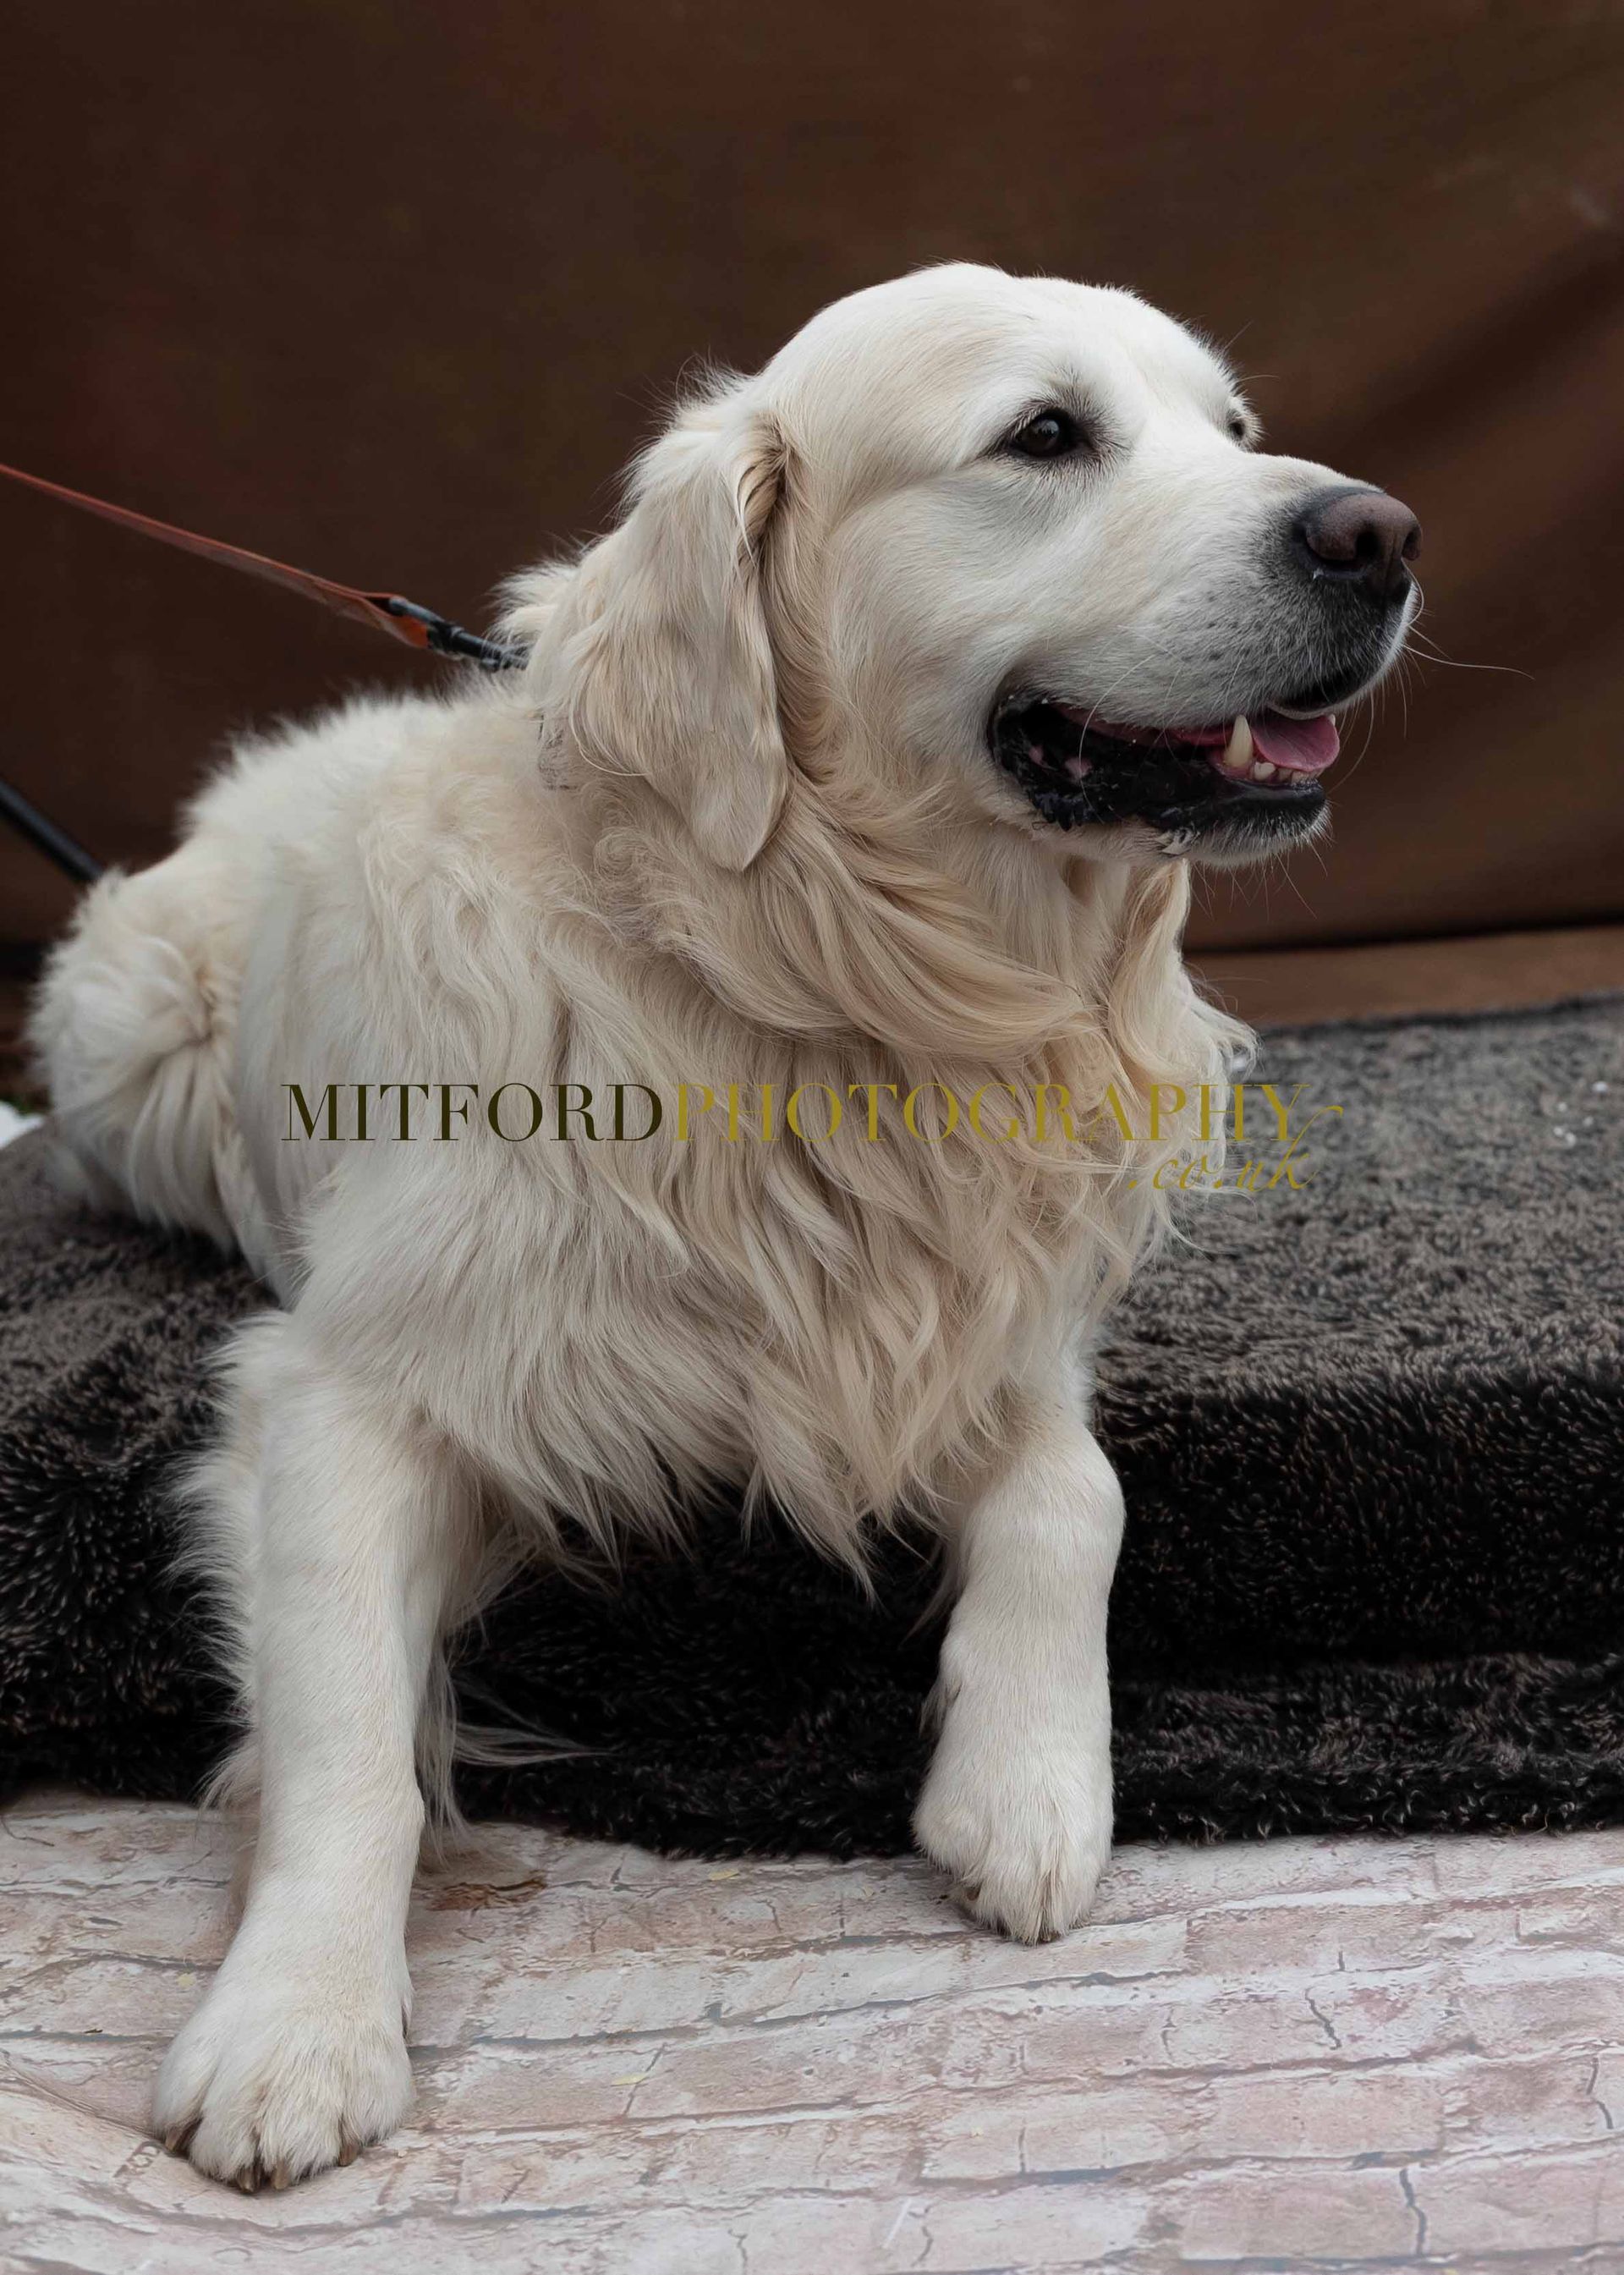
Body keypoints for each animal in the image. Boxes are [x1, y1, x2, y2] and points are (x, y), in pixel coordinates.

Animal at [31, 263, 1419, 2186]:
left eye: (1231, 427)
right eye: (1045, 434)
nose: (1384, 534)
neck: (826, 979)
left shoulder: (1000, 1323)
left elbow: (1082, 1497)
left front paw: (1029, 1786)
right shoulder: (344, 1390)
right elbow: (347, 1732)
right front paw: (293, 2024)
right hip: (129, 1026)